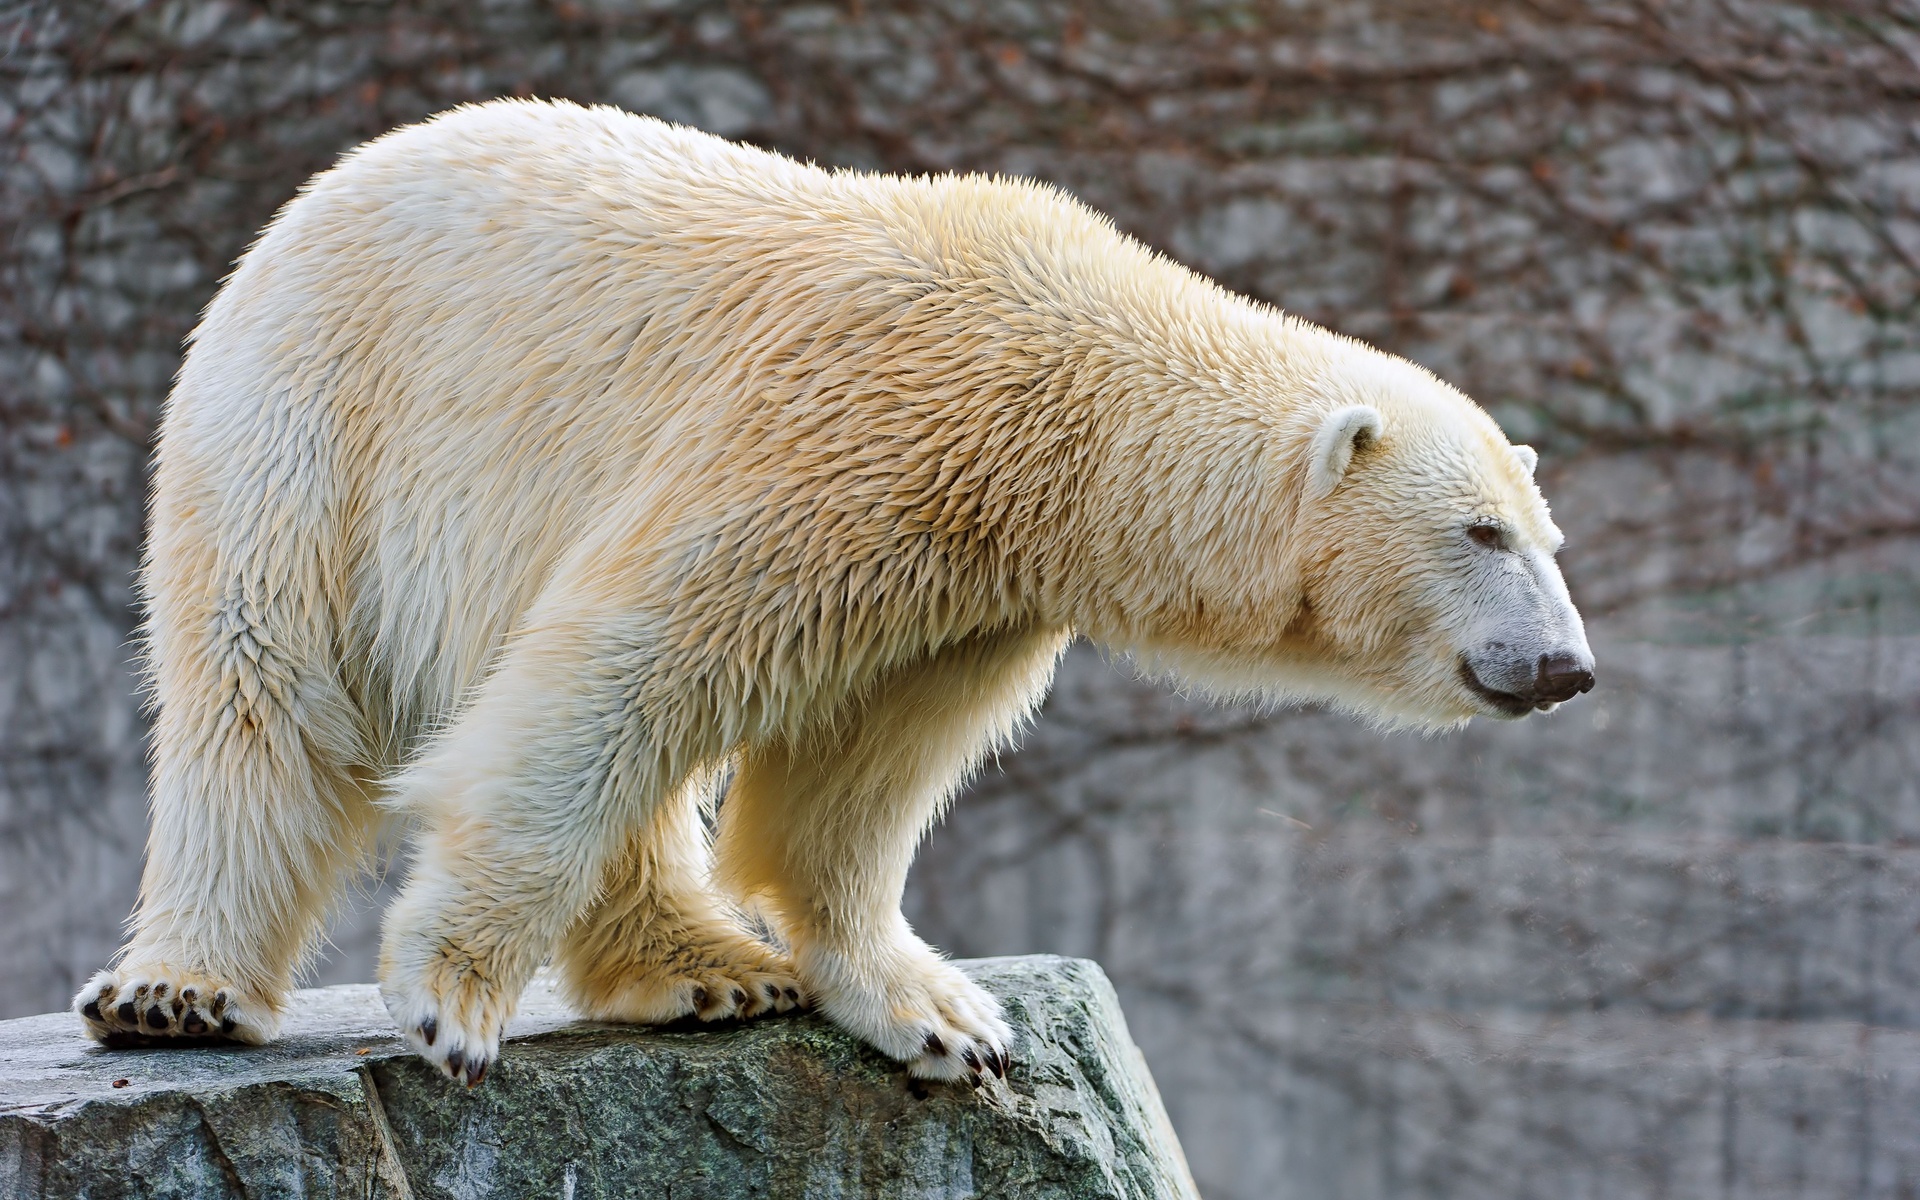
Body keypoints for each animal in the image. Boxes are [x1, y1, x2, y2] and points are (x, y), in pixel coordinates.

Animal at [71, 96, 1589, 1082]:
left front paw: (942, 1016)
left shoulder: (966, 578)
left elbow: (856, 775)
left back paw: (706, 967)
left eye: (1546, 537)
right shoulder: (834, 441)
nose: (1567, 666)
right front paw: (449, 998)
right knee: (263, 686)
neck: (1058, 386)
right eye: (1480, 534)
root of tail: (310, 197)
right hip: (317, 421)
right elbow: (614, 673)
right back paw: (174, 992)